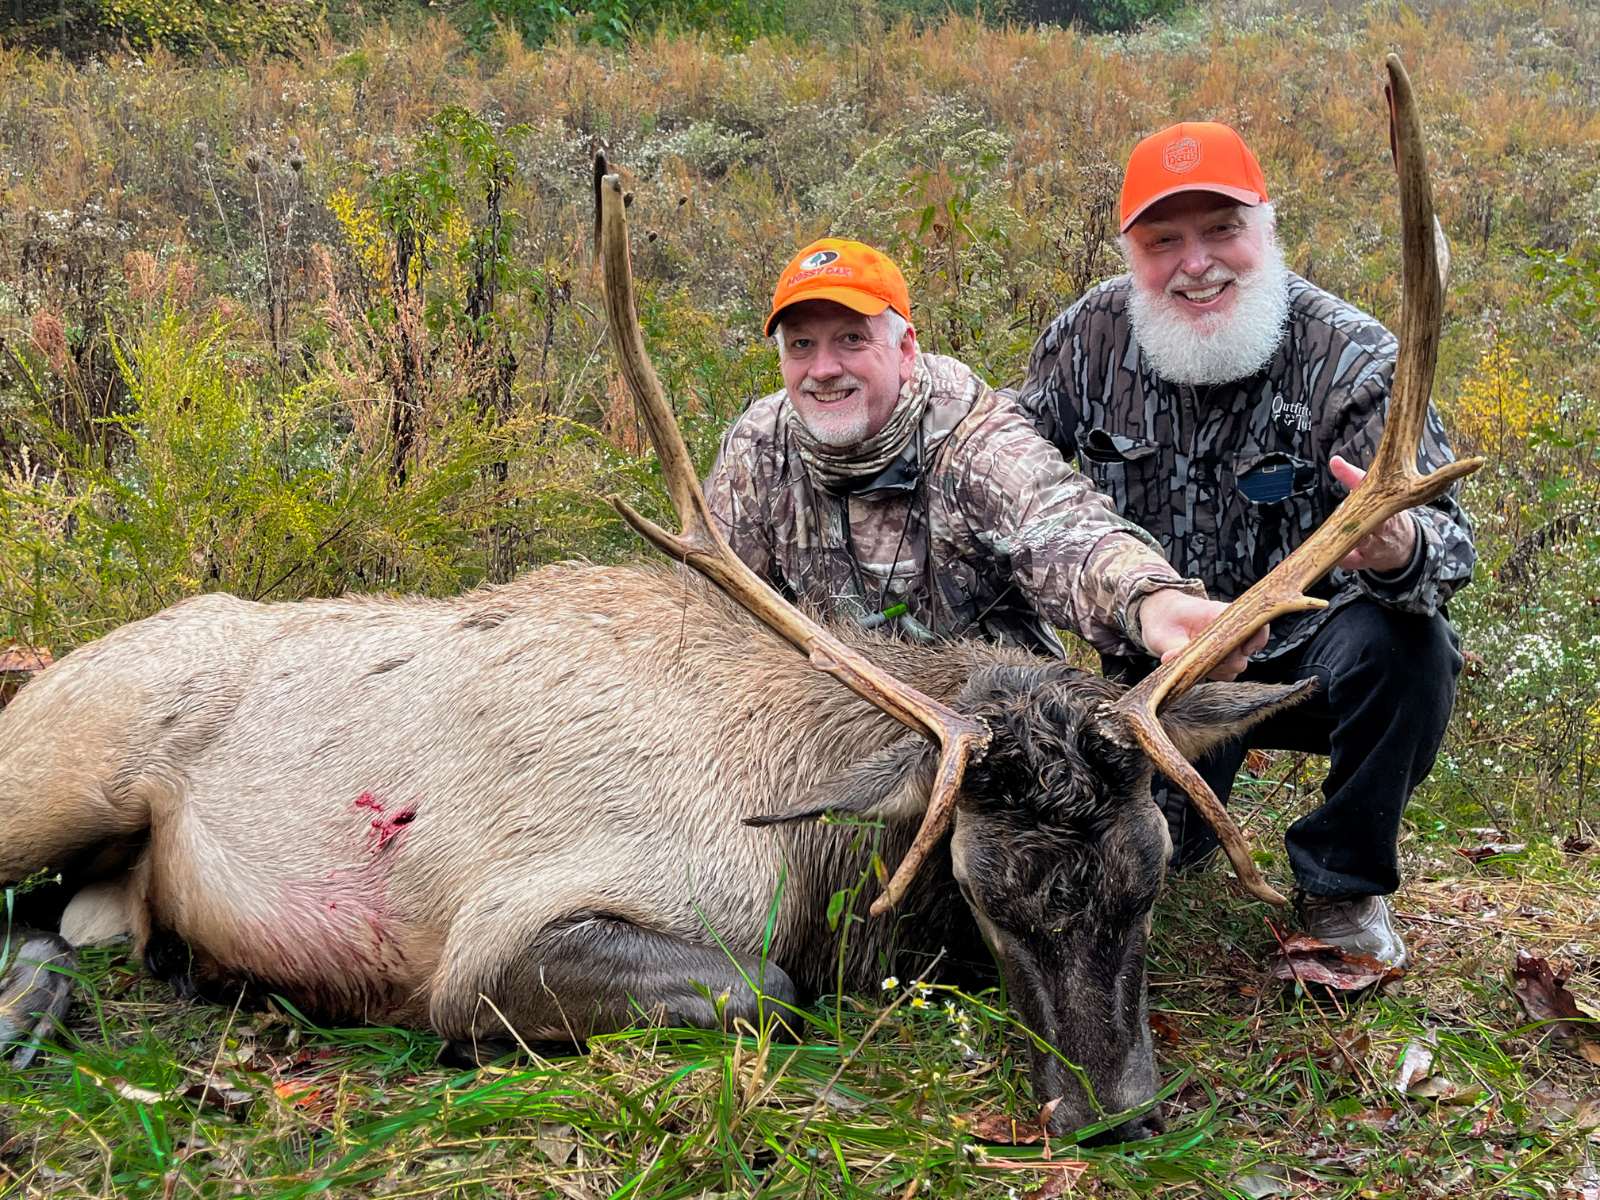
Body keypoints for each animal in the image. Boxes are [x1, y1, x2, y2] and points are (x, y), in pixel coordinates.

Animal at [3, 58, 1472, 1145]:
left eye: (1152, 873)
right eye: (981, 888)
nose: (1113, 1113)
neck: (818, 860)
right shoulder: (500, 935)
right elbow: (756, 989)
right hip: (61, 763)